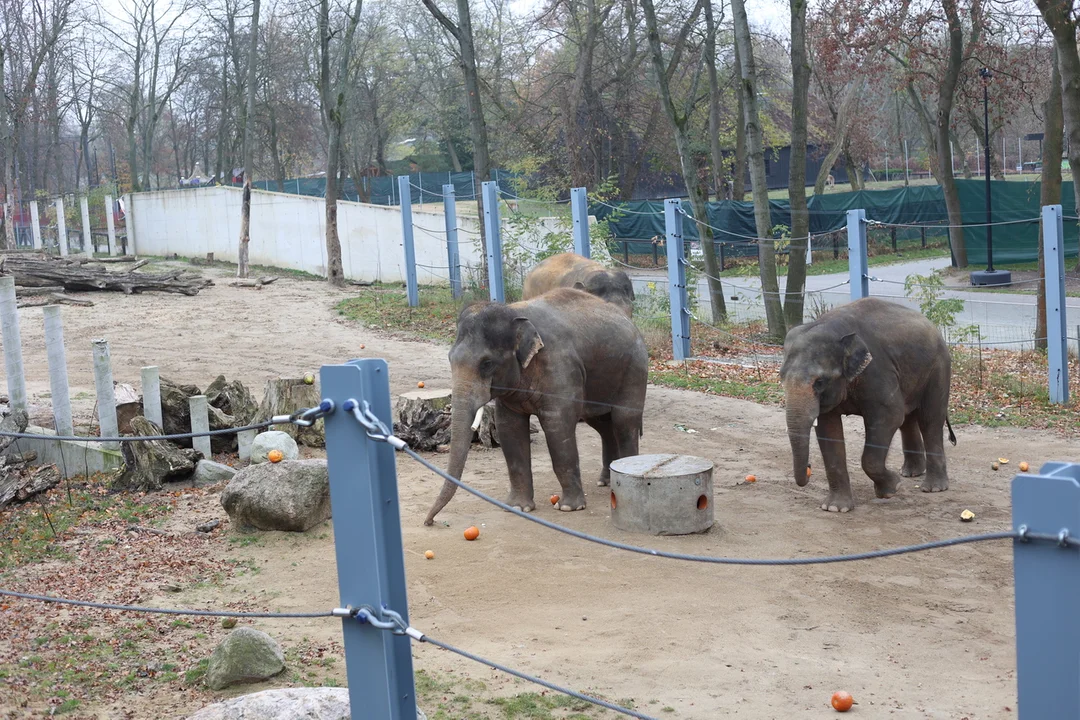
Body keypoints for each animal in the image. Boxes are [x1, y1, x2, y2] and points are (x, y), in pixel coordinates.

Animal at [421, 289, 643, 528]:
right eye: (450, 358)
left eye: (487, 363)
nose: (429, 522)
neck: (513, 311)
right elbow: (509, 429)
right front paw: (517, 508)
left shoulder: (560, 369)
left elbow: (558, 428)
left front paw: (569, 508)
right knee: (602, 424)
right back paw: (606, 480)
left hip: (634, 368)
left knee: (624, 421)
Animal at [781, 297, 959, 511]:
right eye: (781, 378)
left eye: (820, 382)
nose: (809, 468)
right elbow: (828, 430)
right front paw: (835, 508)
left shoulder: (877, 370)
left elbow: (890, 416)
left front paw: (892, 488)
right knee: (908, 420)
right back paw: (911, 473)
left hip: (938, 367)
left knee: (929, 420)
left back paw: (933, 488)